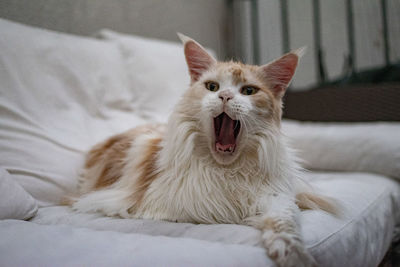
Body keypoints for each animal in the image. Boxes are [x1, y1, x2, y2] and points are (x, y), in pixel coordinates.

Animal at [72, 34, 338, 266]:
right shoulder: (163, 206)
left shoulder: (276, 198)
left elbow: (284, 225)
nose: (225, 96)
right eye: (212, 87)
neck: (227, 170)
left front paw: (294, 255)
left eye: (248, 91)